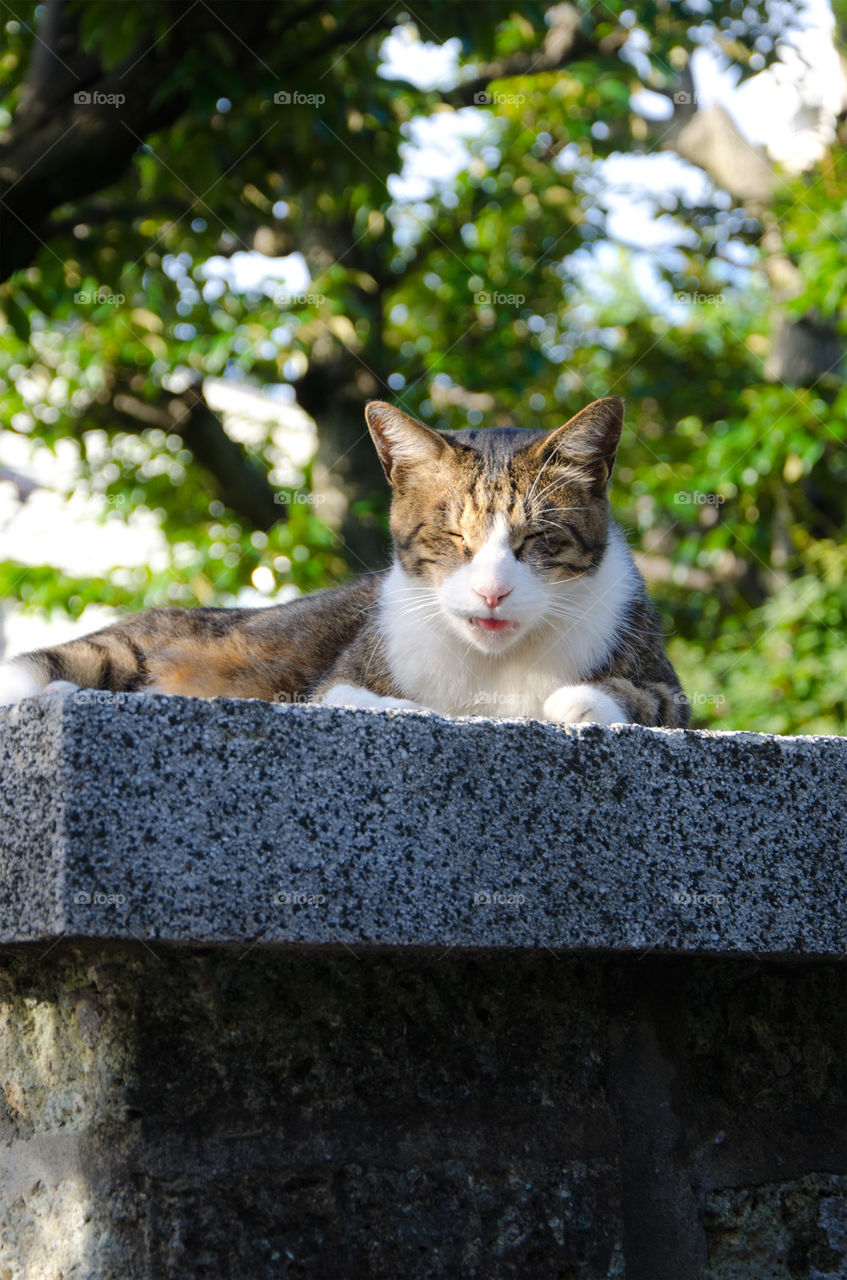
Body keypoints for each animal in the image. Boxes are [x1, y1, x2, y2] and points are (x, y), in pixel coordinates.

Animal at [0, 394, 690, 727]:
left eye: (535, 540)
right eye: (453, 538)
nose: (492, 592)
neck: (493, 668)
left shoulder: (670, 688)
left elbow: (647, 698)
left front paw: (577, 702)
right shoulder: (337, 682)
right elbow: (351, 696)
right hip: (125, 650)